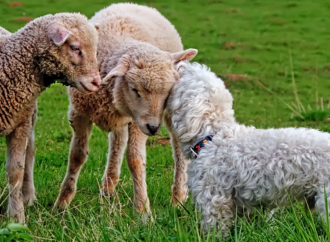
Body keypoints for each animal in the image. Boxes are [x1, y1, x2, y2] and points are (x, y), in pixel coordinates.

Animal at [0, 13, 100, 223]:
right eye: (75, 47)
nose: (97, 82)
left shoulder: (20, 123)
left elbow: (15, 171)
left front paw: (17, 217)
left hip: (30, 118)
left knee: (29, 155)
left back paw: (27, 196)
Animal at [55, 3, 197, 219]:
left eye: (167, 93)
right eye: (134, 89)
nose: (154, 128)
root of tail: (137, 5)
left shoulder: (139, 122)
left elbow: (135, 160)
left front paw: (142, 211)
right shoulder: (79, 112)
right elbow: (77, 156)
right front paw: (62, 203)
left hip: (166, 114)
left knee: (177, 148)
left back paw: (178, 198)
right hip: (121, 117)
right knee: (117, 141)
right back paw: (108, 187)